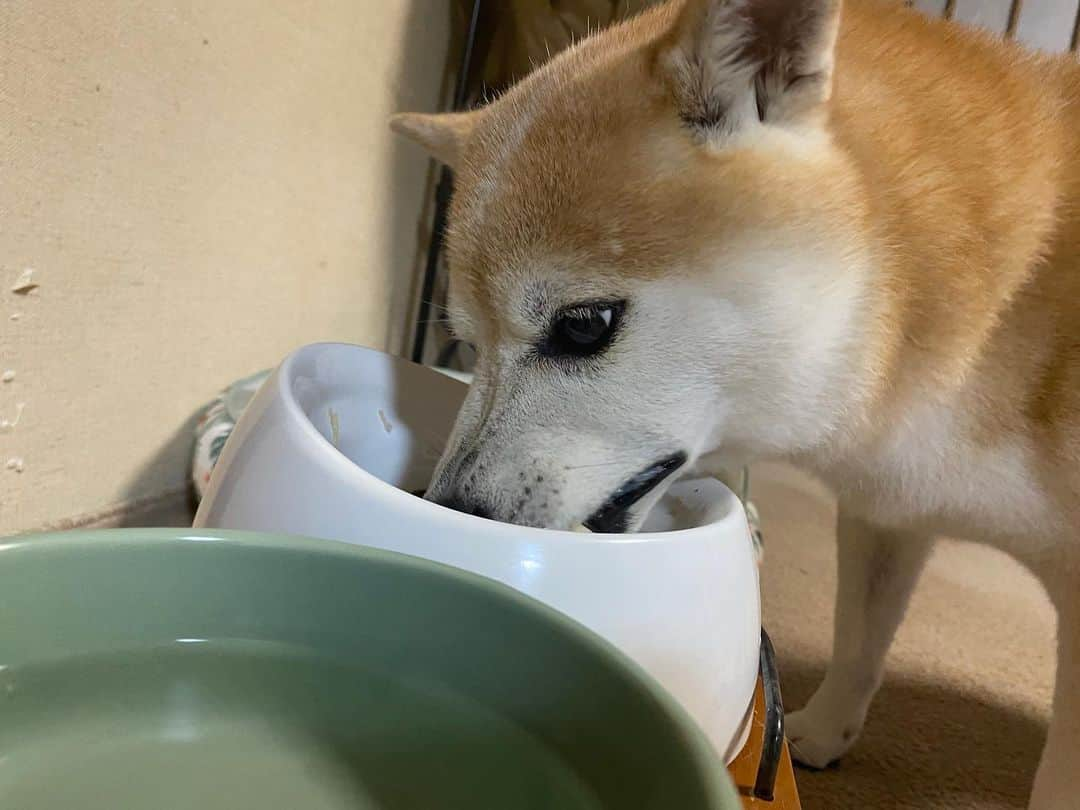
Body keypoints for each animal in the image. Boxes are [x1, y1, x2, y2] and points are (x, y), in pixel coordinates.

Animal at [393, 0, 1080, 807]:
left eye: (584, 325)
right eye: (469, 344)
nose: (448, 509)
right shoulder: (888, 508)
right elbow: (860, 637)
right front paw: (827, 730)